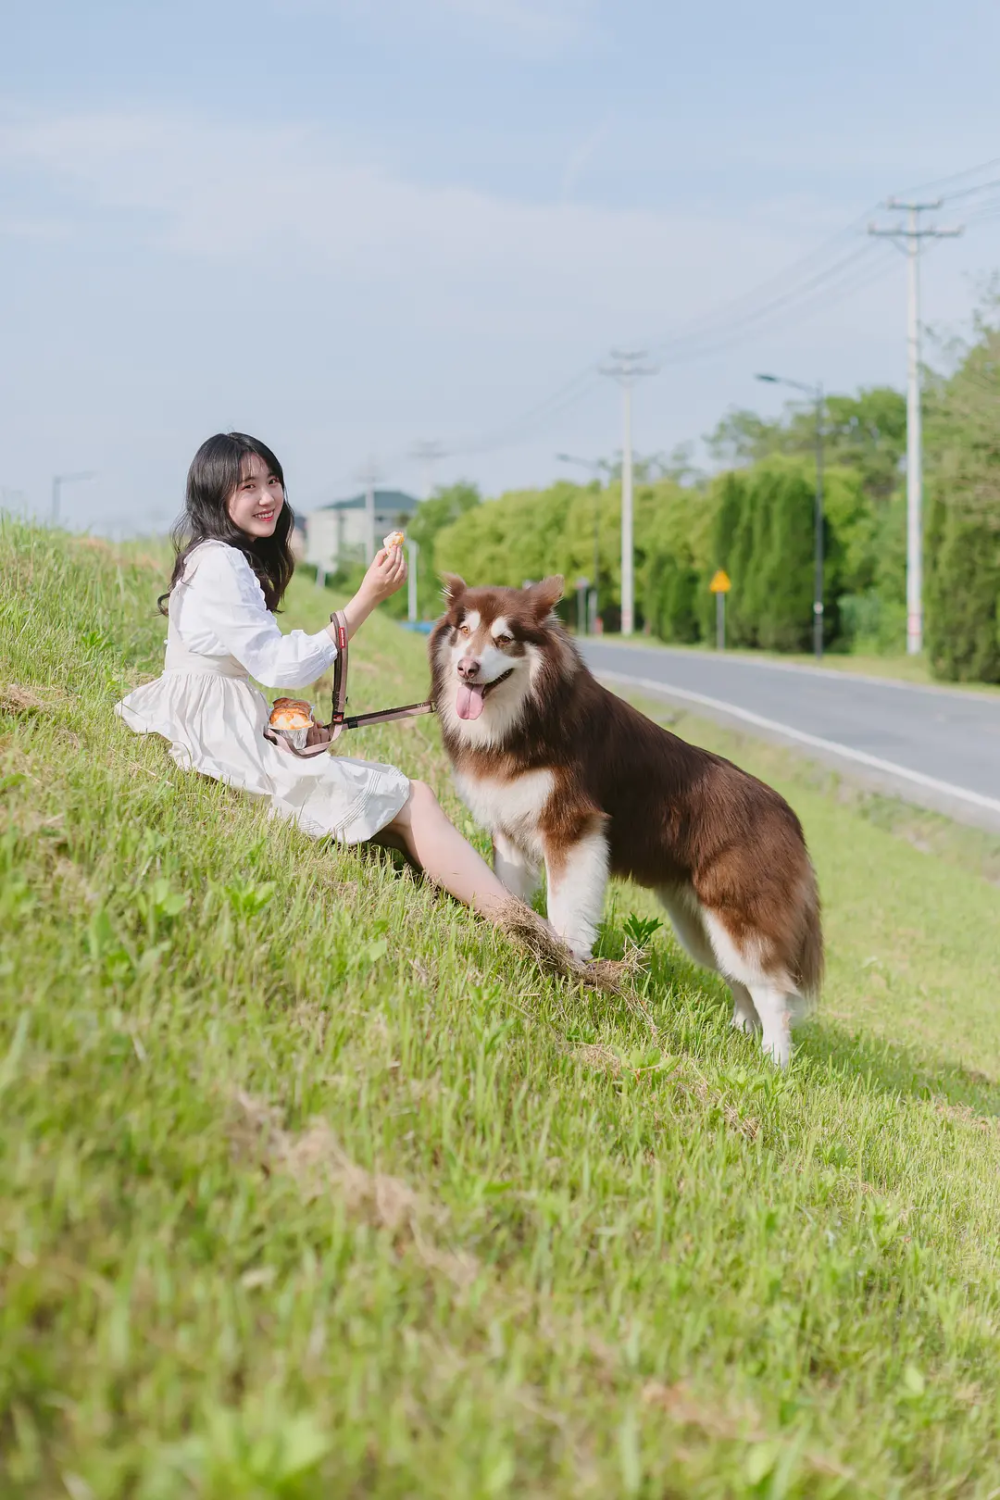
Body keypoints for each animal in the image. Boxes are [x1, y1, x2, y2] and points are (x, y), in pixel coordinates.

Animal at [434, 570, 827, 1068]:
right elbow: (507, 895)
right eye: (464, 630)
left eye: (504, 639)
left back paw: (774, 1061)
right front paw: (518, 937)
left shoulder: (573, 832)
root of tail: (790, 819)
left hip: (741, 914)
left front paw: (567, 966)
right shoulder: (510, 833)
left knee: (771, 989)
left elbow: (567, 910)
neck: (526, 716)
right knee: (740, 980)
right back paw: (740, 1033)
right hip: (699, 923)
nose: (467, 668)